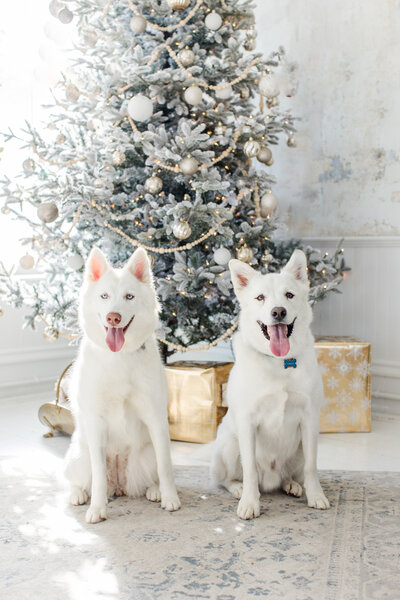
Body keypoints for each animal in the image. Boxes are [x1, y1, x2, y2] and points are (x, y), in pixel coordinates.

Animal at [64, 246, 180, 524]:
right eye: (104, 296)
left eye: (129, 296)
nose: (113, 317)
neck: (119, 358)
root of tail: (119, 485)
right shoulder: (96, 423)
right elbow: (97, 477)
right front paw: (97, 508)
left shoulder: (156, 418)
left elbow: (165, 466)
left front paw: (170, 497)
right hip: (79, 454)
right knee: (78, 480)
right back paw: (78, 494)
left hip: (146, 454)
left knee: (154, 471)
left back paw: (155, 490)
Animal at [211, 248, 330, 520]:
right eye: (260, 297)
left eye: (289, 295)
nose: (278, 312)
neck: (278, 362)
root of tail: (271, 480)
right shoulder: (247, 421)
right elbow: (249, 468)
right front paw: (249, 503)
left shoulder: (310, 419)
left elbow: (312, 466)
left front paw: (316, 496)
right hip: (230, 444)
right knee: (226, 479)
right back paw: (238, 488)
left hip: (299, 447)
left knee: (290, 474)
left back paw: (291, 485)